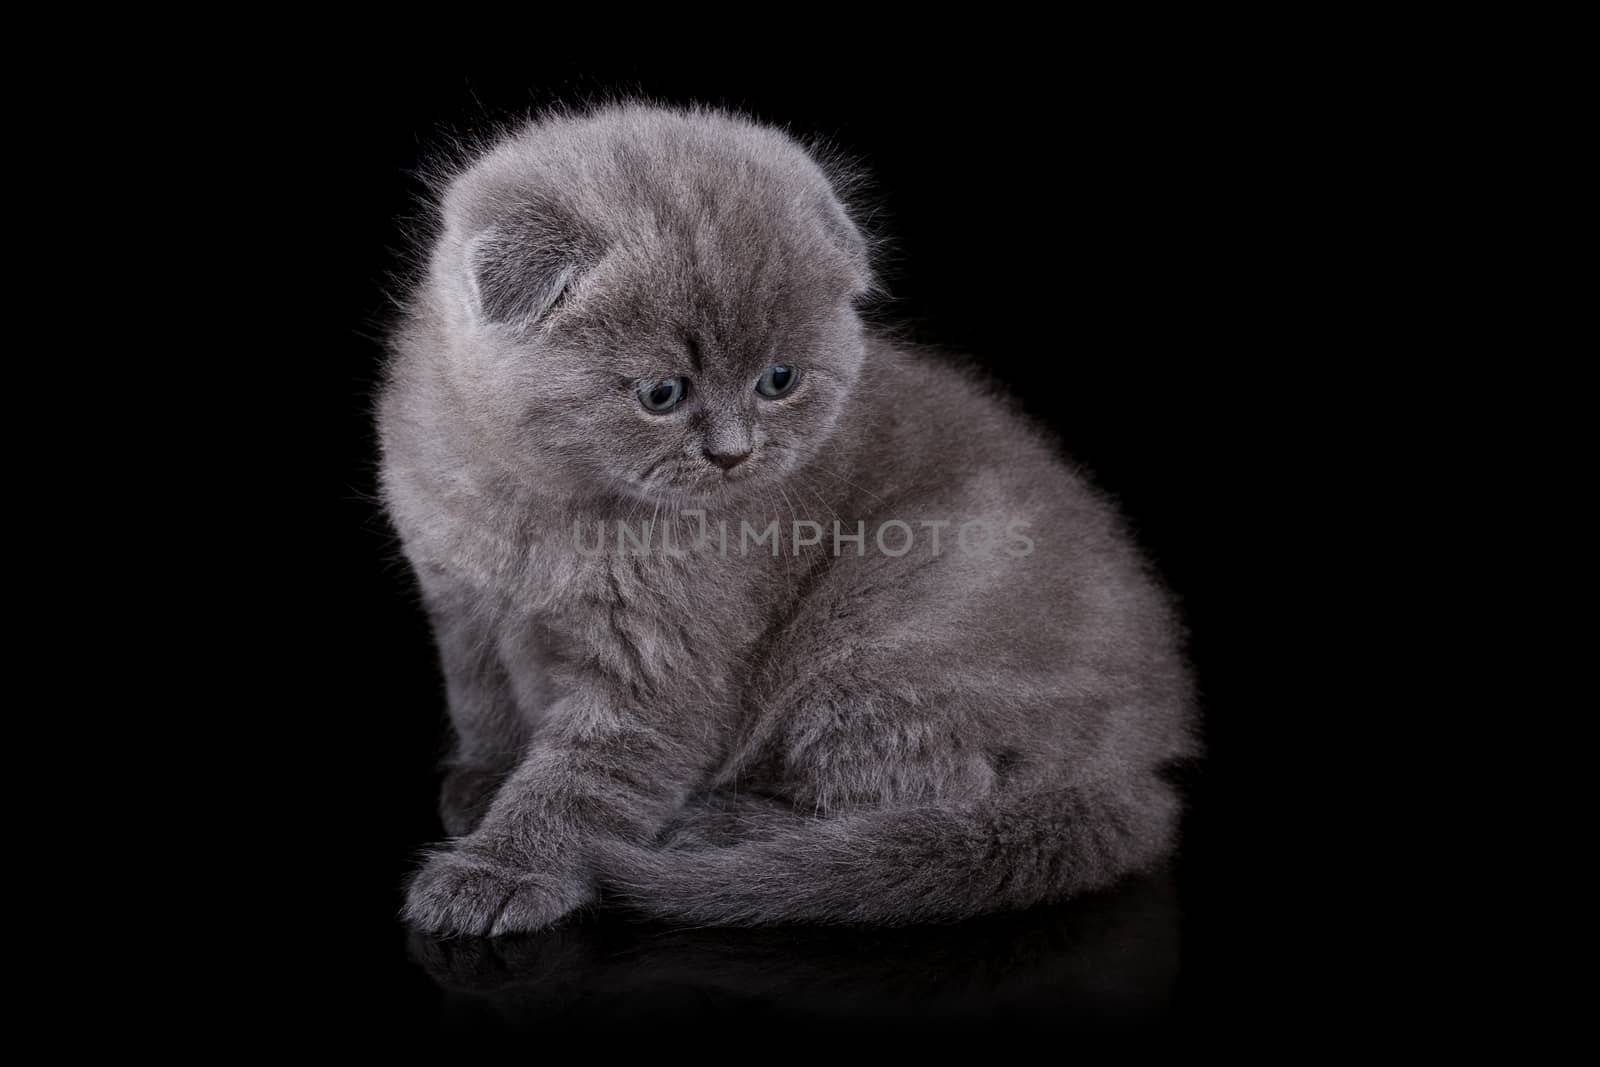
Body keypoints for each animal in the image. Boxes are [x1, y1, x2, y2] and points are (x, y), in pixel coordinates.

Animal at [380, 102, 1196, 934]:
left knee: (925, 794)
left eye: (779, 379)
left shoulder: (663, 658)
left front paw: (497, 869)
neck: (536, 500)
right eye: (662, 394)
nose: (733, 454)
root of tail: (1135, 766)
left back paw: (718, 828)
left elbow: (585, 779)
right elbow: (480, 699)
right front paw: (482, 779)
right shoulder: (459, 599)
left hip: (893, 631)